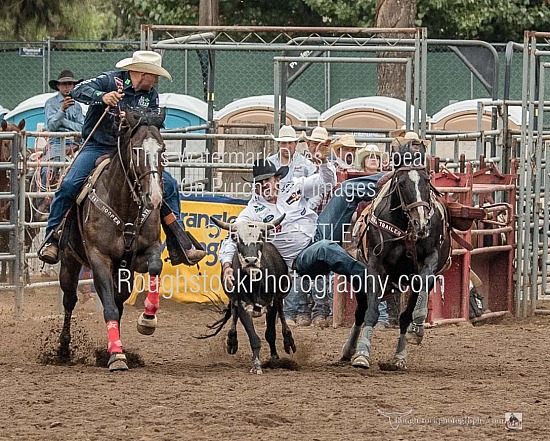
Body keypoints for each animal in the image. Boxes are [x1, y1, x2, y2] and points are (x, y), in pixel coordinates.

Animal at [58, 108, 166, 370]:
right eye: (136, 149)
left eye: (162, 149)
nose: (154, 197)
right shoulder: (99, 259)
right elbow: (108, 308)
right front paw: (116, 356)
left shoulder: (146, 252)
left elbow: (155, 267)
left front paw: (147, 319)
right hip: (69, 261)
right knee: (70, 300)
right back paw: (64, 348)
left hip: (123, 272)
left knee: (119, 301)